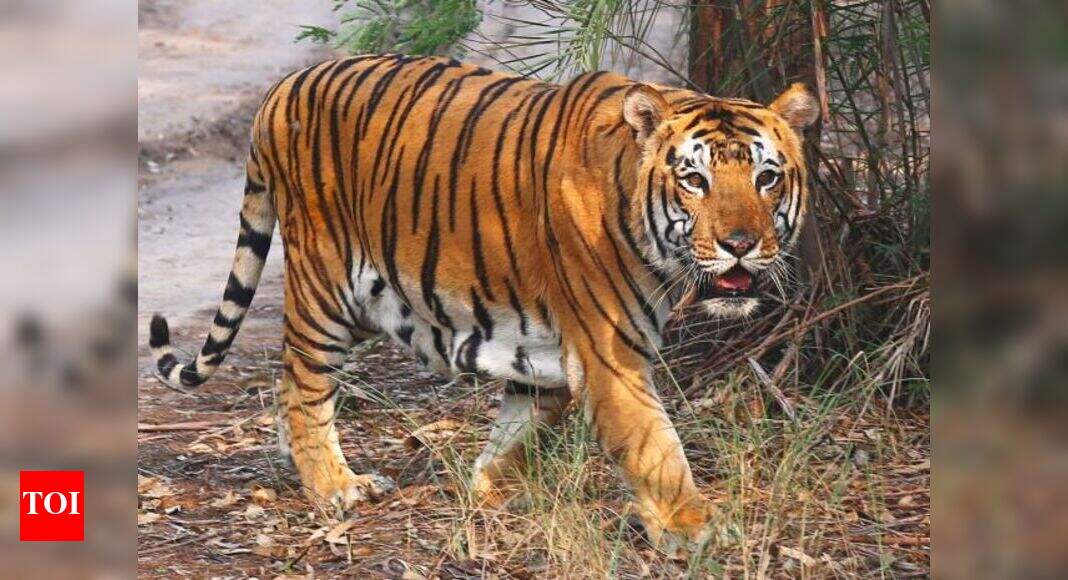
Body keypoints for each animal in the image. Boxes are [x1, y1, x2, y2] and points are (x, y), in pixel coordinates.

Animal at [148, 54, 818, 552]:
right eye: (694, 180)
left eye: (767, 178)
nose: (741, 244)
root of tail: (283, 88)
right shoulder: (611, 355)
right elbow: (656, 447)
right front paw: (697, 529)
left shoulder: (547, 348)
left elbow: (523, 425)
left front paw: (491, 487)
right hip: (326, 286)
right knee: (305, 382)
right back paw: (335, 486)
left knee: (289, 382)